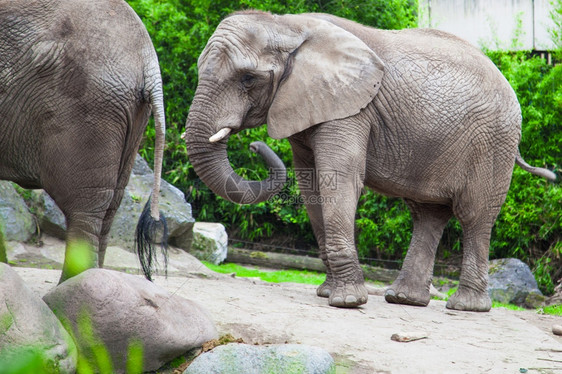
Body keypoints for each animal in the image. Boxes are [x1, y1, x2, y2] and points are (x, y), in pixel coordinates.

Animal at [0, 0, 166, 282]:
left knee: (84, 208)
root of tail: (148, 59)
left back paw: (72, 287)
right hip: (132, 116)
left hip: (87, 107)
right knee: (111, 207)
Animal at [182, 10, 552, 310]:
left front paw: (346, 302)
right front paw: (327, 292)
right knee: (428, 214)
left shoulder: (351, 108)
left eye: (248, 79)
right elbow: (312, 186)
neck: (287, 25)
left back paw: (465, 307)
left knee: (474, 215)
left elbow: (338, 178)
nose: (254, 146)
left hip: (493, 142)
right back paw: (404, 299)